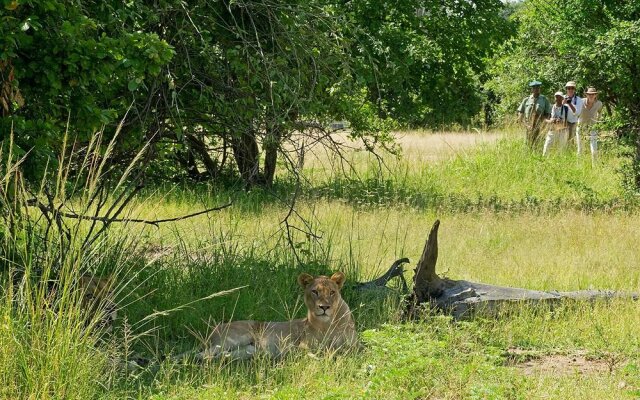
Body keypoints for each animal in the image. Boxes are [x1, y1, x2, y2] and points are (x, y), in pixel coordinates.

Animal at [190, 270, 360, 360]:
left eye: (332, 292)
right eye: (315, 292)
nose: (324, 307)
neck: (327, 324)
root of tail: (214, 329)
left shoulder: (355, 345)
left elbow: (346, 350)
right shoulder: (303, 344)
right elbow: (316, 352)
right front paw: (325, 357)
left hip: (247, 351)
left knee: (222, 355)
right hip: (232, 339)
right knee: (199, 354)